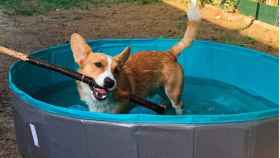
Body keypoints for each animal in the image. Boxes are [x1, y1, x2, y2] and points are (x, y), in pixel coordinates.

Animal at [71, 4, 200, 113]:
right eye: (98, 64)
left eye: (116, 70)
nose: (110, 82)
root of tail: (169, 53)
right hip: (161, 91)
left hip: (173, 93)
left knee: (178, 106)